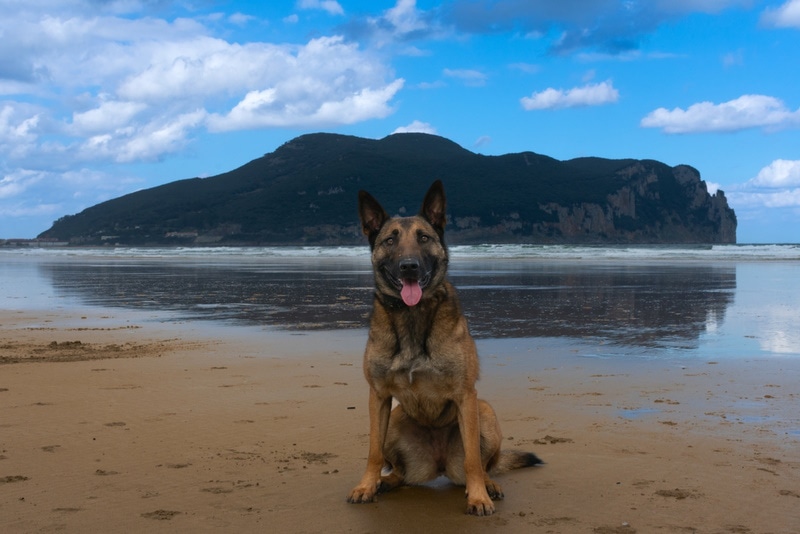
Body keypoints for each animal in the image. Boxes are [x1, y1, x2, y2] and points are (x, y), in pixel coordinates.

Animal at [346, 182, 540, 516]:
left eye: (423, 238)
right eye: (389, 240)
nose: (409, 266)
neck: (413, 317)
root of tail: (438, 465)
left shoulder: (465, 396)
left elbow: (473, 459)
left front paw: (478, 497)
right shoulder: (379, 397)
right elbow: (372, 451)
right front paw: (366, 485)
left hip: (484, 411)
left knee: (484, 465)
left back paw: (488, 485)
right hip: (396, 421)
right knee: (400, 472)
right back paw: (386, 481)